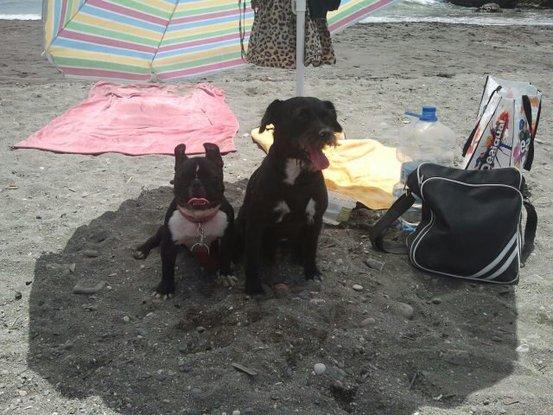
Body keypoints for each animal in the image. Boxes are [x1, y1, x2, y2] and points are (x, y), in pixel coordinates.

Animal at [136, 144, 237, 300]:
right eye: (181, 177)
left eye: (212, 176)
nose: (196, 183)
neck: (199, 219)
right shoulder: (169, 243)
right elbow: (167, 267)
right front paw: (165, 289)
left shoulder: (227, 237)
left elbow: (225, 255)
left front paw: (226, 274)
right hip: (163, 230)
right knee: (154, 238)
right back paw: (142, 249)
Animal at [236, 98, 342, 296]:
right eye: (301, 116)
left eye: (327, 116)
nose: (326, 133)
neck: (296, 172)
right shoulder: (255, 222)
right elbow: (252, 258)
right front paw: (253, 286)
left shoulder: (316, 219)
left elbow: (312, 249)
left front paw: (311, 272)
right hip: (241, 224)